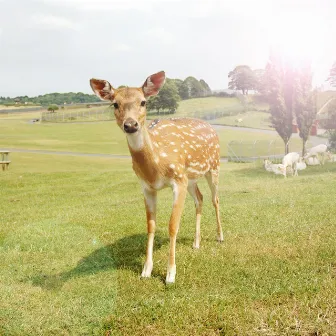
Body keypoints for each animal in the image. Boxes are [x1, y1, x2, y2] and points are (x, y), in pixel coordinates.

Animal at [89, 71, 223, 284]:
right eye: (115, 104)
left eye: (143, 102)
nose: (131, 124)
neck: (156, 167)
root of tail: (211, 126)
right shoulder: (147, 187)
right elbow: (151, 226)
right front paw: (146, 270)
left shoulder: (178, 180)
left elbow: (173, 225)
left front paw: (170, 274)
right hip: (191, 177)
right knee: (200, 198)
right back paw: (196, 242)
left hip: (214, 166)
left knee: (215, 199)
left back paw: (220, 236)